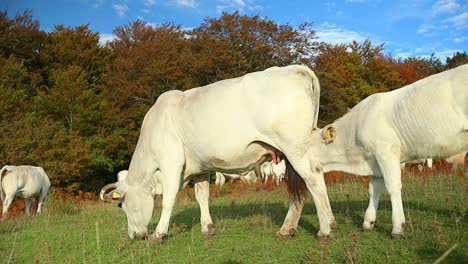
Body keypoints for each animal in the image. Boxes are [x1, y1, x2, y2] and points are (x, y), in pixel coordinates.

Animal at [101, 65, 336, 240]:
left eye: (121, 204)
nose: (133, 235)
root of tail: (295, 68)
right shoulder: (200, 167)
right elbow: (202, 196)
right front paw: (207, 227)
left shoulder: (171, 163)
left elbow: (168, 198)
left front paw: (159, 233)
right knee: (300, 188)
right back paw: (287, 229)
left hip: (295, 148)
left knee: (313, 178)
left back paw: (326, 228)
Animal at [302, 64, 466, 235]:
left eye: (307, 145)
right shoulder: (375, 161)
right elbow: (374, 189)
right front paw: (368, 222)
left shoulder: (386, 152)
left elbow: (393, 186)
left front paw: (397, 227)